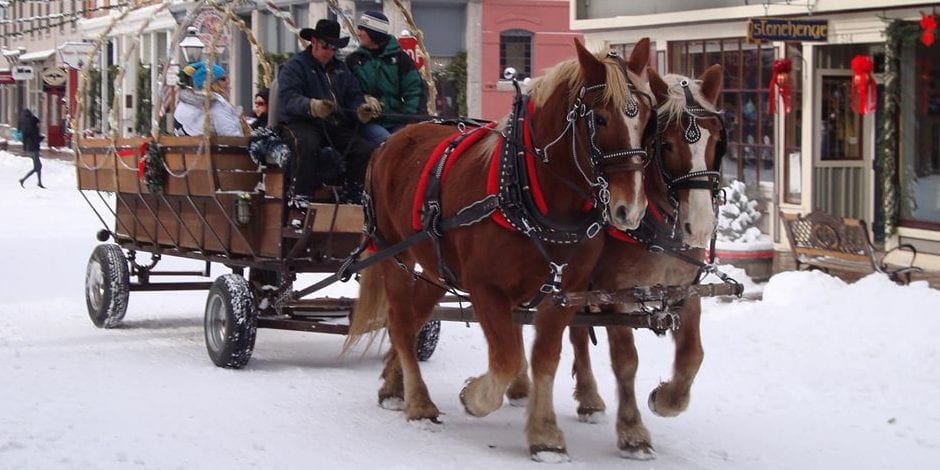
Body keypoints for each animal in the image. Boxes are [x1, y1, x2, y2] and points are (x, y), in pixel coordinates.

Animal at [346, 40, 652, 456]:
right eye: (601, 120)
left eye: (648, 119)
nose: (630, 209)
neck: (529, 191)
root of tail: (389, 142)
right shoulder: (485, 287)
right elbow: (506, 358)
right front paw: (474, 397)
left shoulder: (565, 292)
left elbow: (544, 359)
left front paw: (544, 435)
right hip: (394, 252)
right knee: (400, 320)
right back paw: (419, 402)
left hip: (438, 269)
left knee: (413, 316)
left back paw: (395, 386)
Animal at [564, 64, 728, 460]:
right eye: (666, 144)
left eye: (716, 142)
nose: (700, 226)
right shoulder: (616, 293)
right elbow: (626, 360)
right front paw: (632, 432)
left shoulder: (684, 289)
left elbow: (692, 355)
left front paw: (666, 399)